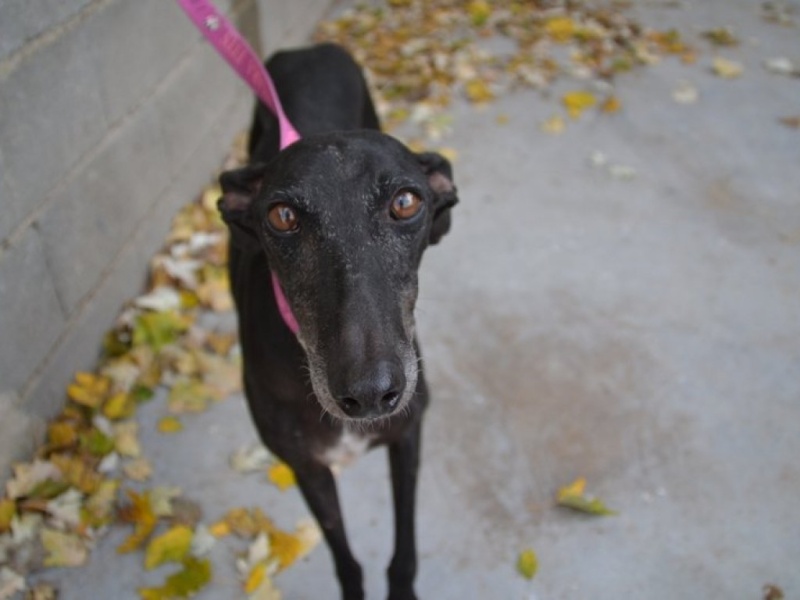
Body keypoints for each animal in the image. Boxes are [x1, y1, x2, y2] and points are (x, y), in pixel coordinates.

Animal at [217, 43, 456, 600]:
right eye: (282, 216)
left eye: (406, 202)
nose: (369, 394)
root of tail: (307, 48)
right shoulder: (306, 468)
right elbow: (345, 558)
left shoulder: (408, 434)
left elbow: (404, 550)